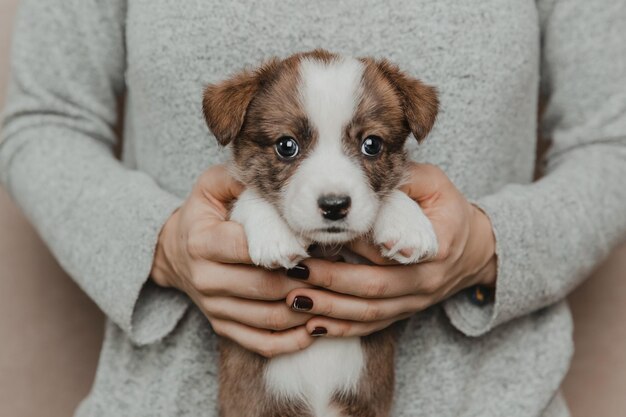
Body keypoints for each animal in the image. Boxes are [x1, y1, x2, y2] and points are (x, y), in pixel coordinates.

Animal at [202, 50, 436, 416]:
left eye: (372, 145)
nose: (335, 206)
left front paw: (407, 223)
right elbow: (249, 196)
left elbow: (389, 195)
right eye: (286, 146)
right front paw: (274, 235)